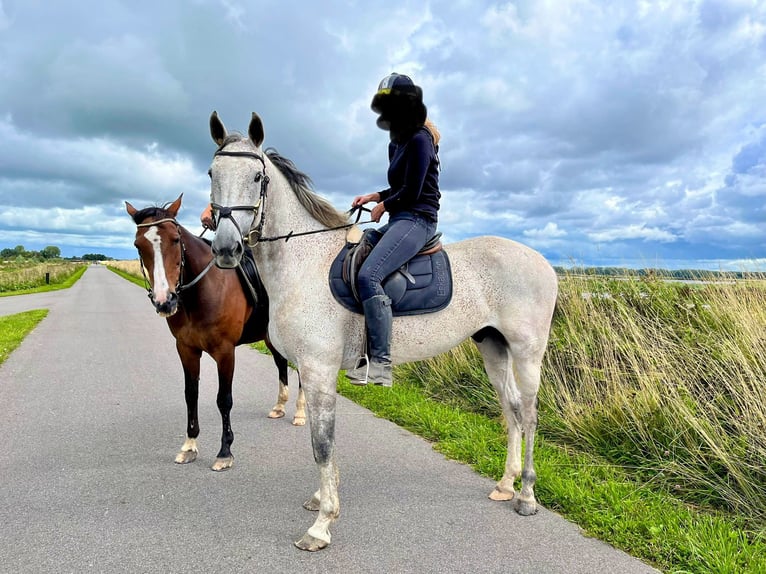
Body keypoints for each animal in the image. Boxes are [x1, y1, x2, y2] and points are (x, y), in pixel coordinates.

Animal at [127, 195, 306, 472]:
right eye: (138, 244)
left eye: (175, 239)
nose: (164, 301)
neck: (203, 291)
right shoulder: (186, 349)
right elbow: (191, 395)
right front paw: (189, 446)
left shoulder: (225, 352)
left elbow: (224, 399)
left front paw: (225, 452)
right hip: (270, 337)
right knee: (280, 364)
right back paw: (279, 406)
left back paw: (299, 413)